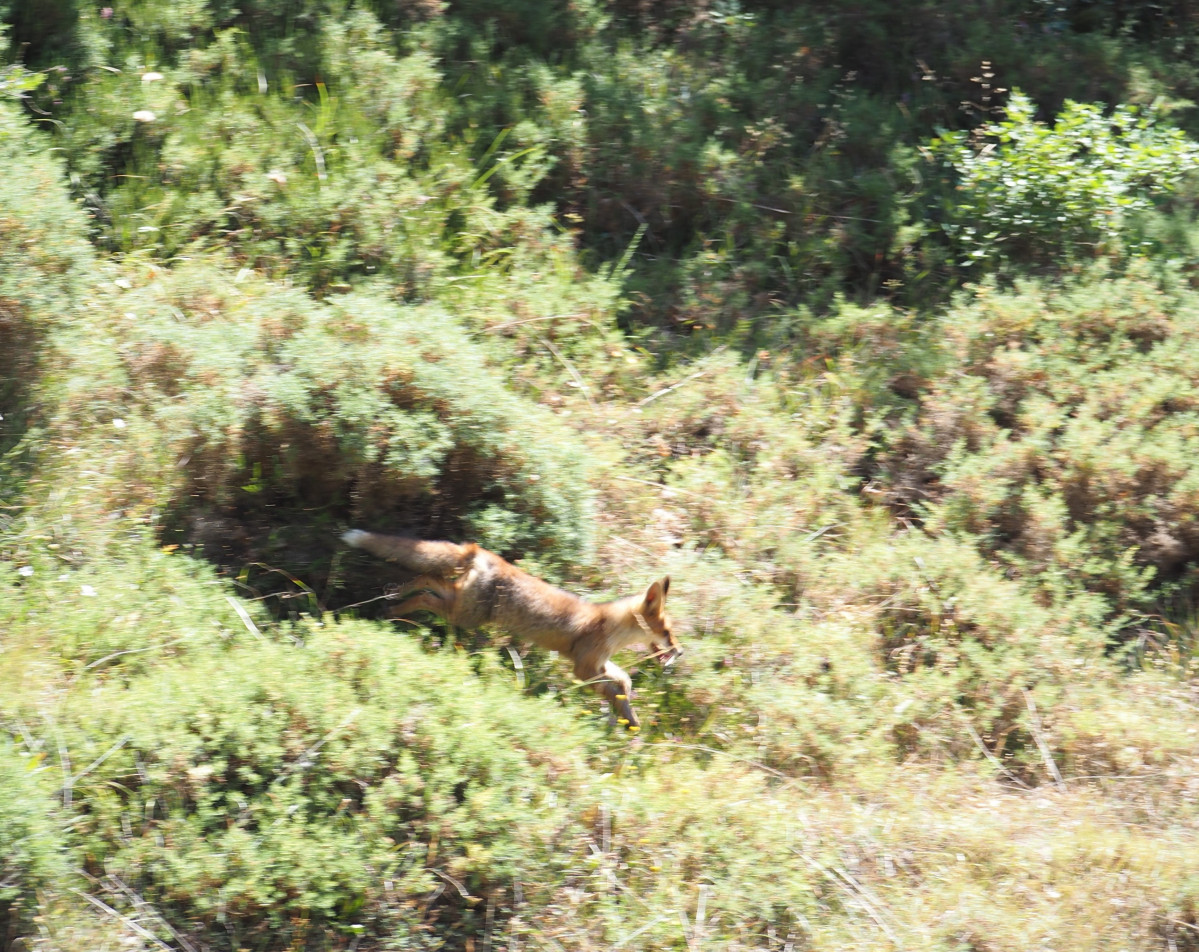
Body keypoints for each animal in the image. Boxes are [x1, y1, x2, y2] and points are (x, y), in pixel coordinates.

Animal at [342, 527, 681, 728]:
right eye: (666, 632)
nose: (679, 650)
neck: (608, 626)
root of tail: (482, 552)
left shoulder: (597, 662)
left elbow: (624, 680)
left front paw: (628, 713)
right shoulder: (583, 667)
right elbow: (612, 686)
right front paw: (625, 712)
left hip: (460, 605)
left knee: (428, 580)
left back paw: (393, 597)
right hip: (463, 615)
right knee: (426, 593)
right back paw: (392, 609)